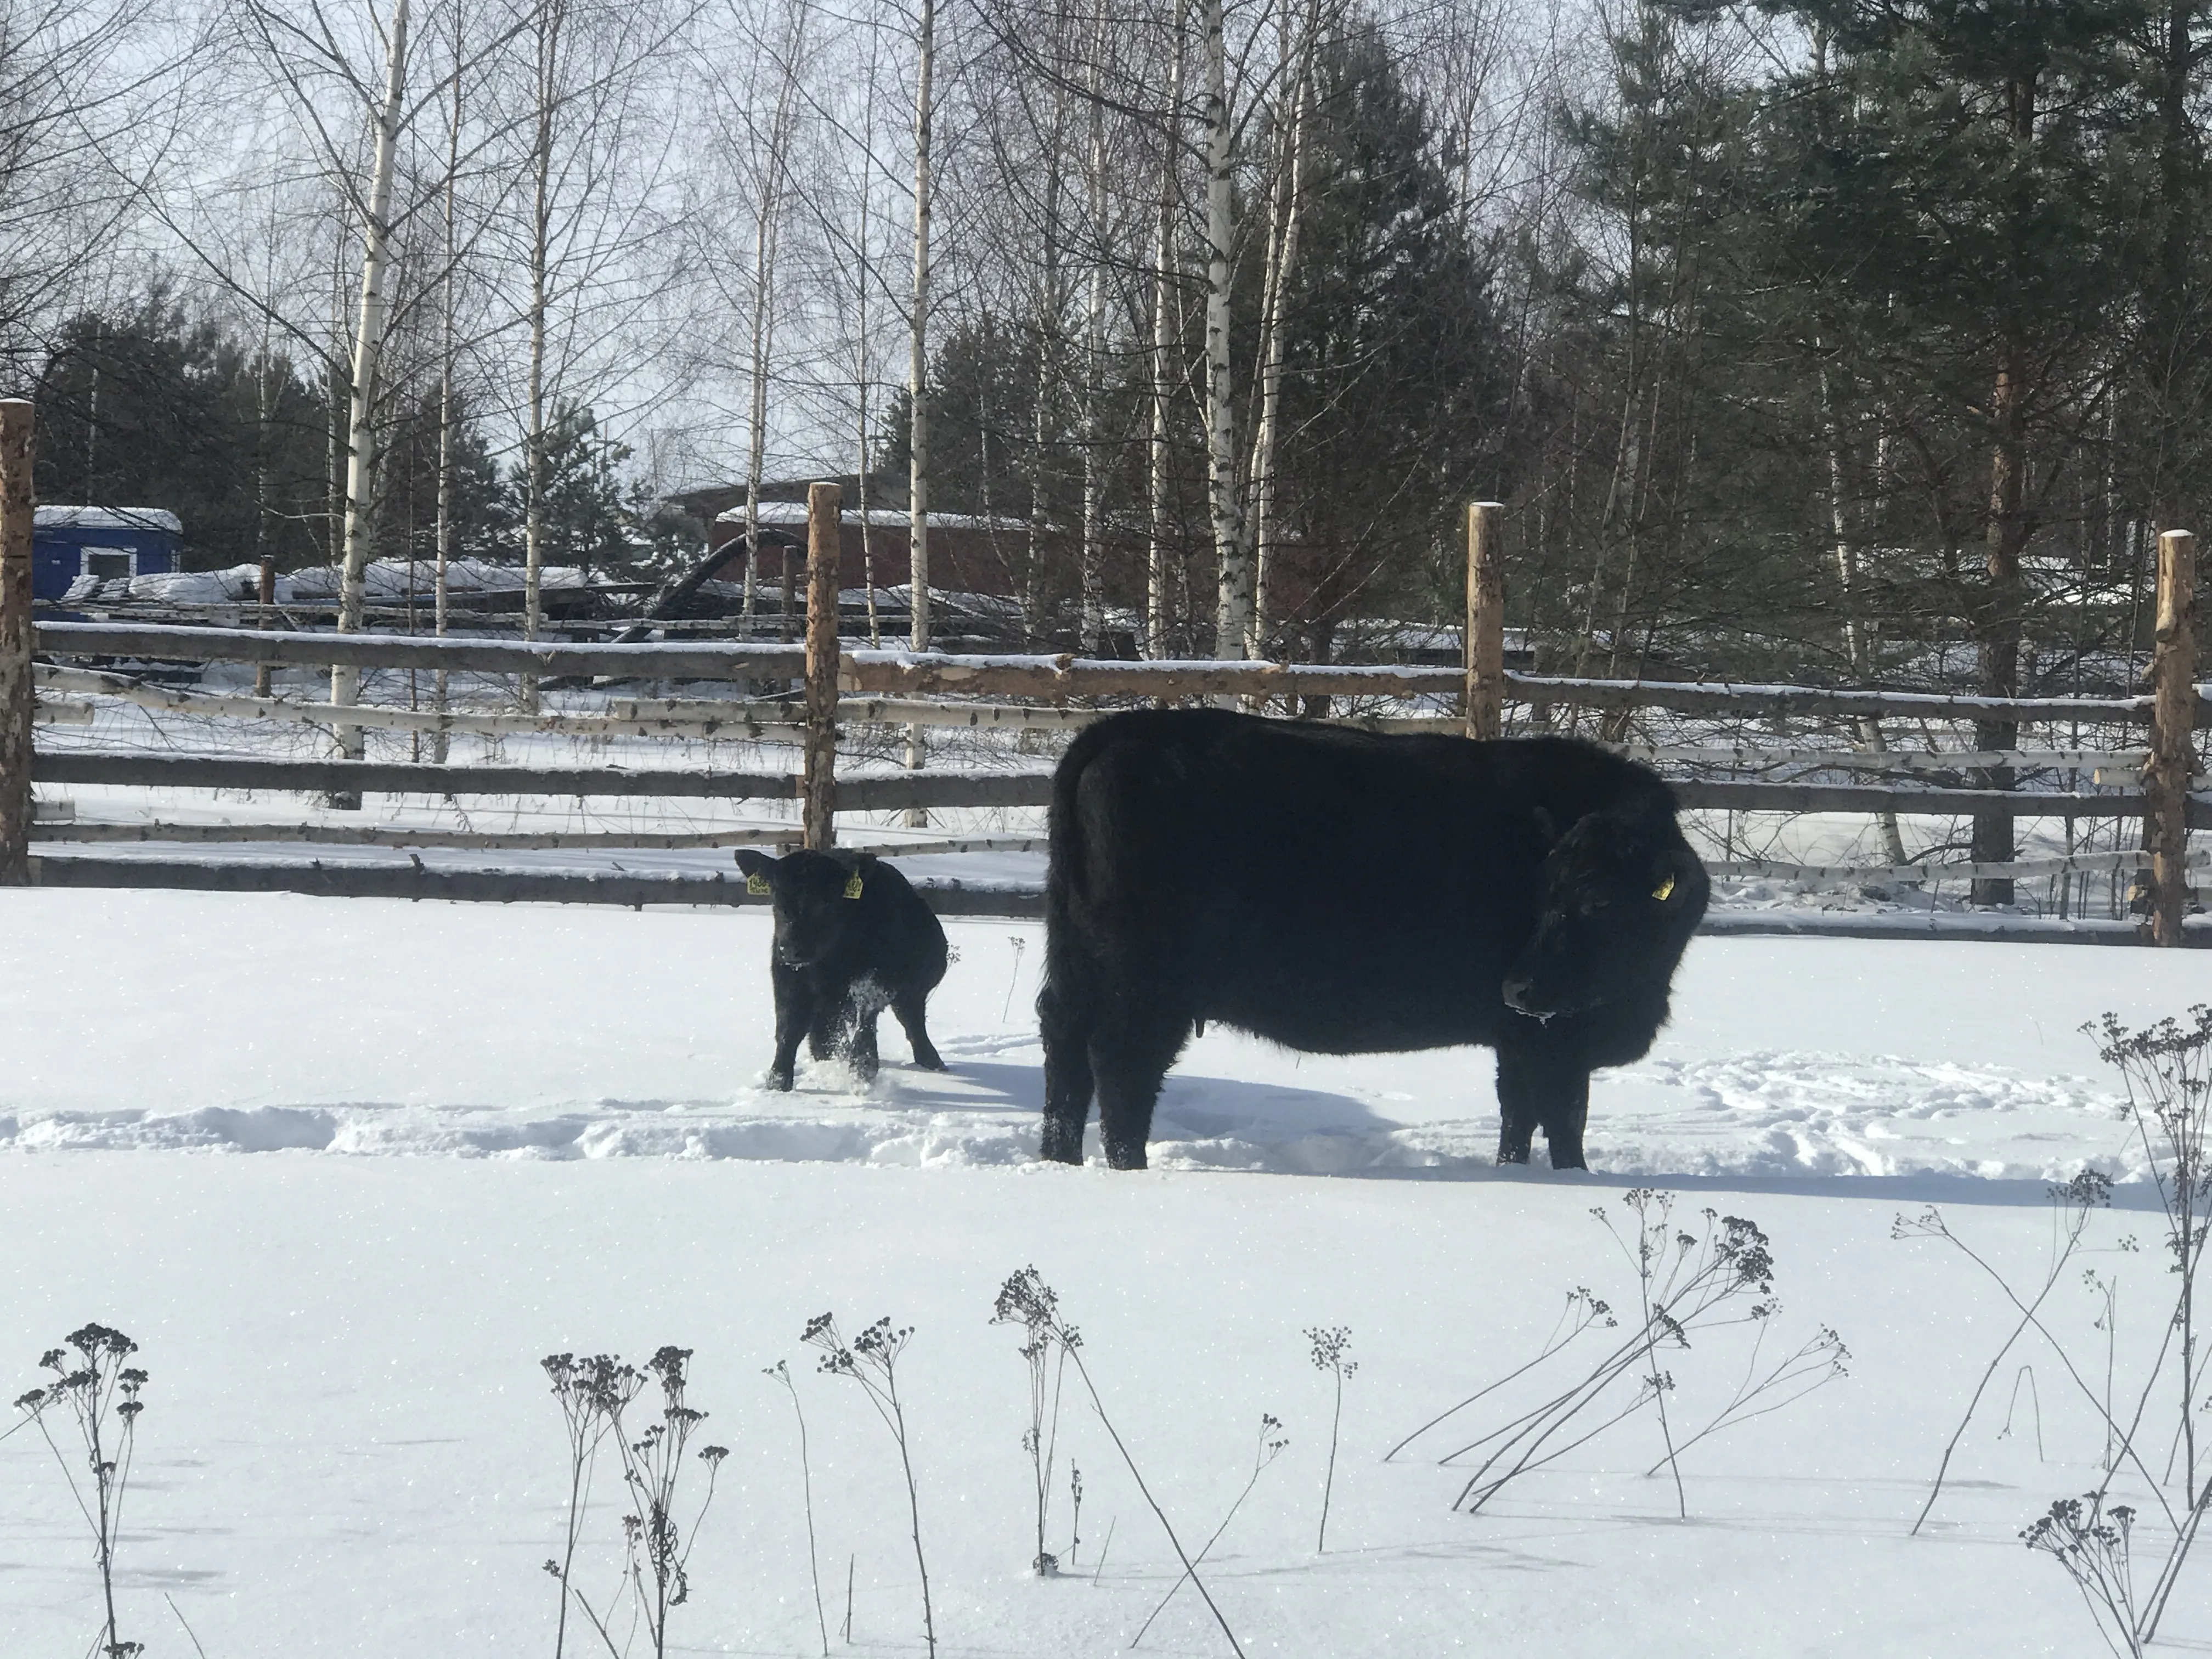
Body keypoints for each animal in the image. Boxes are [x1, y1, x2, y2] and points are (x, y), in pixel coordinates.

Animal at [743, 849, 951, 1097]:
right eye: (775, 898)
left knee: (912, 1020)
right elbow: (788, 1029)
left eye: (826, 902)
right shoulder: (787, 981)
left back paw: (932, 1061)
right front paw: (777, 1082)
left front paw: (863, 1071)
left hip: (912, 992)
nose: (791, 949)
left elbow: (867, 1015)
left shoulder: (878, 980)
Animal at [1035, 712, 1707, 1167]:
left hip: (1076, 964)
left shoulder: (1519, 1036)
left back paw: (1058, 1160)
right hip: (1146, 988)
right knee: (1121, 1067)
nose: (1516, 986)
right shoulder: (1557, 1039)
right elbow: (1565, 1121)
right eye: (1545, 892)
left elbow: (1518, 1118)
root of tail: (1123, 729)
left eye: (1596, 901)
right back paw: (1131, 1169)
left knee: (1065, 1048)